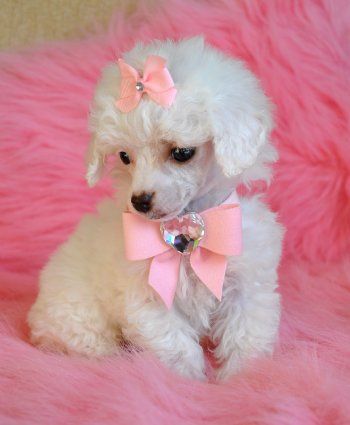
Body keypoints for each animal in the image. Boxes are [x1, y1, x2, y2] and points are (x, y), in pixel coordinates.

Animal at [28, 37, 284, 380]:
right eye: (124, 157)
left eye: (182, 153)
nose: (139, 201)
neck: (186, 226)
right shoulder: (147, 298)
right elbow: (176, 346)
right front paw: (187, 382)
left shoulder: (247, 283)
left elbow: (246, 335)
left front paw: (245, 379)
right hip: (77, 316)